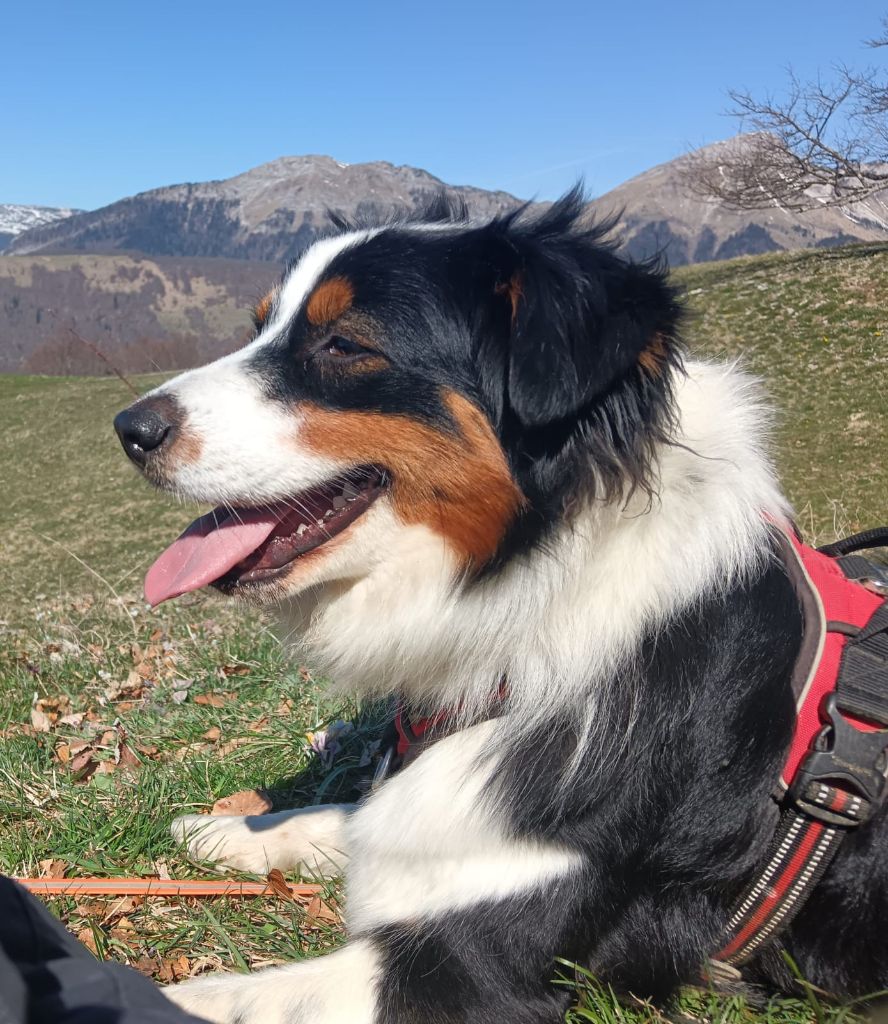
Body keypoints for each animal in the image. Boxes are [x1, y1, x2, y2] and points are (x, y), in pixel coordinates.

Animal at [113, 191, 888, 1023]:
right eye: (261, 326)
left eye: (344, 344)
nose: (129, 429)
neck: (535, 607)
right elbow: (343, 816)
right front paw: (229, 829)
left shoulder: (472, 968)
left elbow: (237, 999)